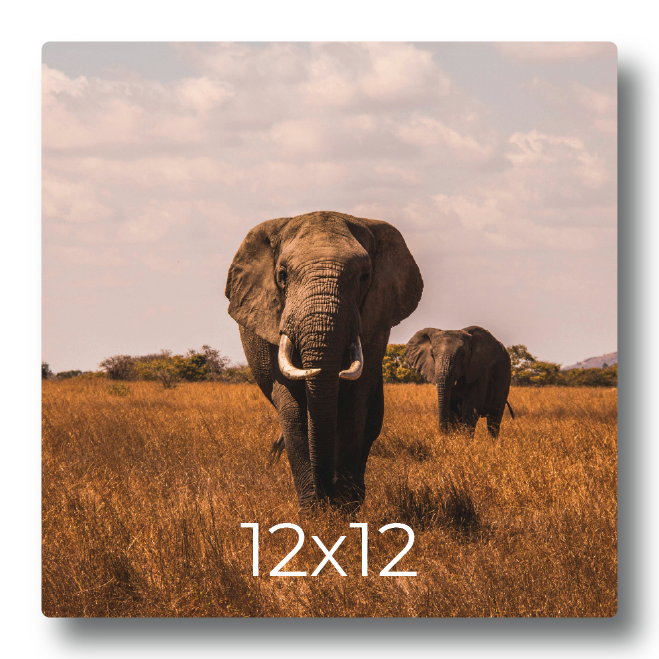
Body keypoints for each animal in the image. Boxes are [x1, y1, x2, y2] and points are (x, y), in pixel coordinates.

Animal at [225, 210, 423, 511]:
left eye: (365, 276)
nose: (326, 495)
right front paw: (314, 512)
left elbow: (355, 405)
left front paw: (344, 509)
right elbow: (293, 408)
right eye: (282, 275)